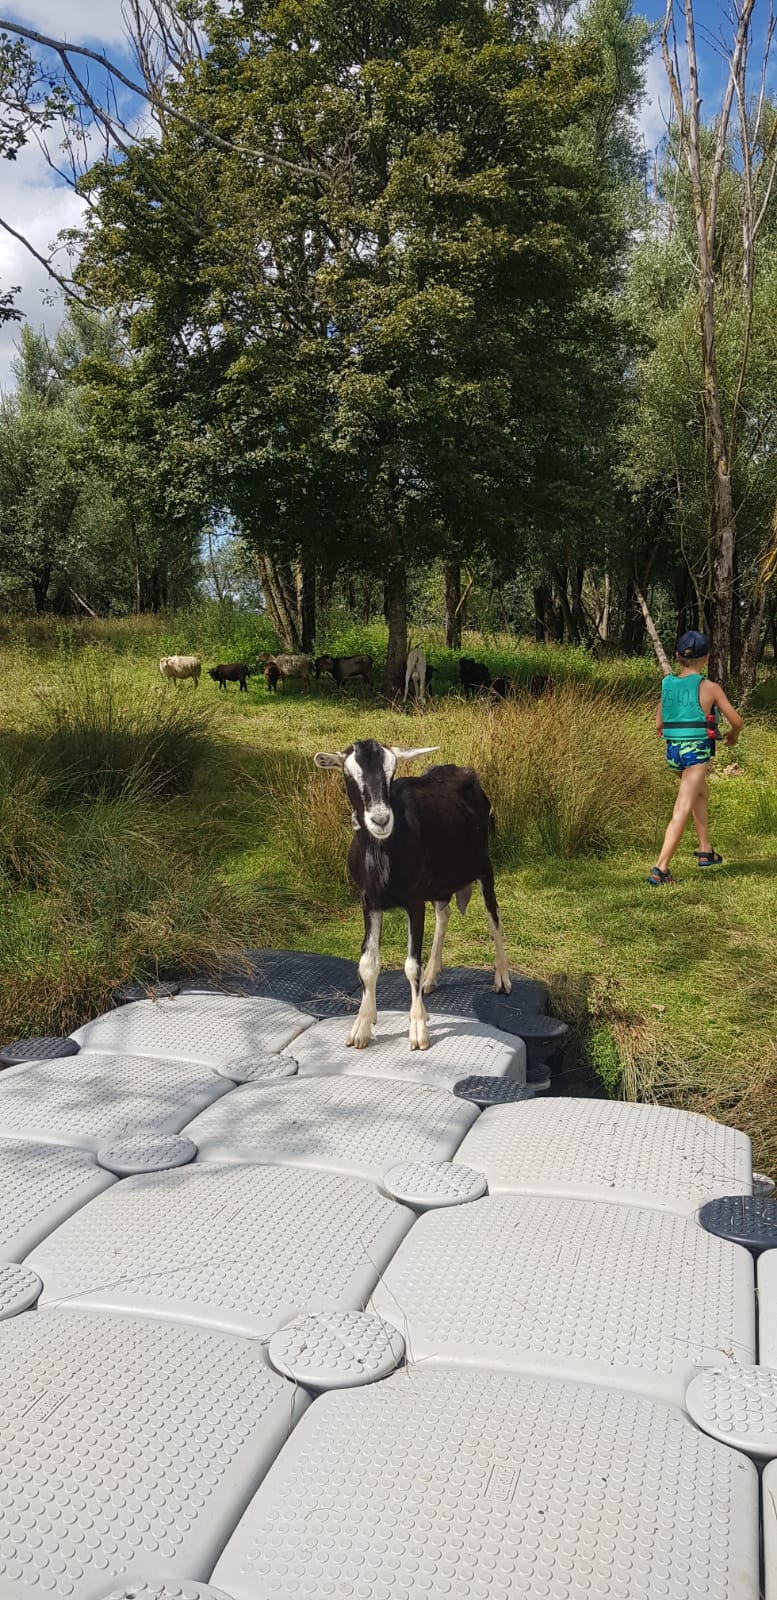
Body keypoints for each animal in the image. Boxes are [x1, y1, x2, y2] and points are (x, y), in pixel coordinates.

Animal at [313, 742, 511, 1056]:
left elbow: (410, 966)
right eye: (348, 774)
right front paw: (362, 1026)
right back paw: (432, 976)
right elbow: (367, 964)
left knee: (494, 918)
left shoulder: (414, 900)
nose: (381, 819)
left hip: (483, 864)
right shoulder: (369, 901)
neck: (382, 857)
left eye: (391, 772)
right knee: (444, 914)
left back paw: (502, 977)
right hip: (441, 881)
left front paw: (418, 1029)